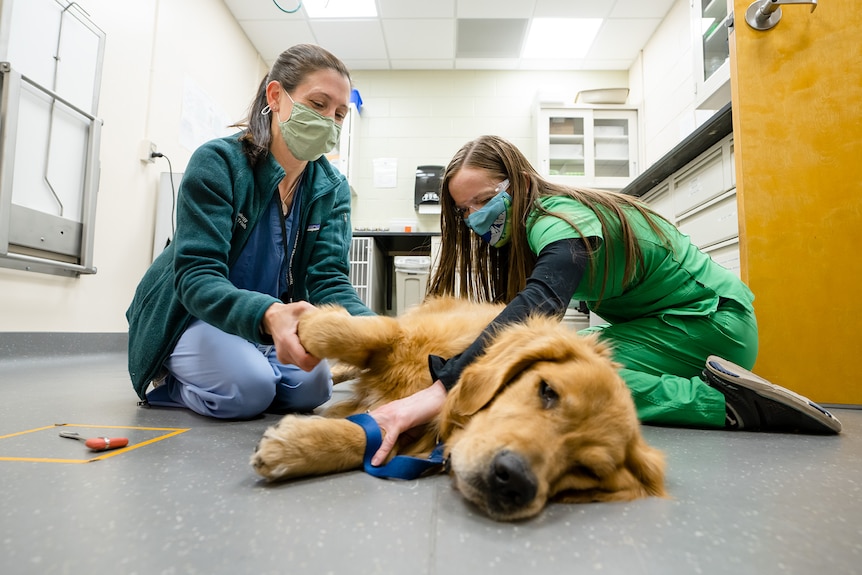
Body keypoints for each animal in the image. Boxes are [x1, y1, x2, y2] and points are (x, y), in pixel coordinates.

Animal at [251, 296, 668, 520]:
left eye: (586, 470)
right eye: (548, 391)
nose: (513, 481)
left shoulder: (406, 433)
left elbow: (367, 436)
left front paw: (294, 448)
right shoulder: (405, 335)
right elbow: (355, 333)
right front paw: (303, 325)